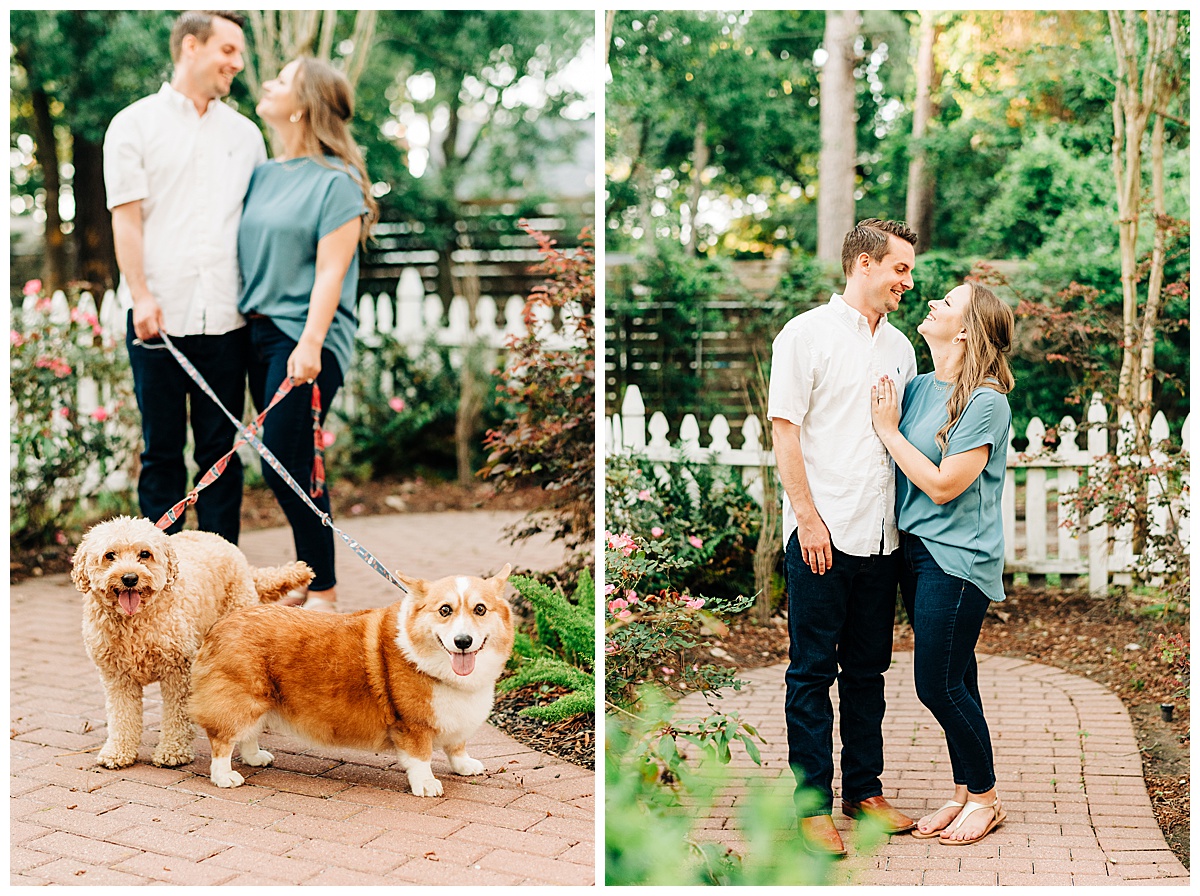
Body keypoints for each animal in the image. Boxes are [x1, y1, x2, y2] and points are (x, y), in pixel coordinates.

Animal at [70, 518, 314, 772]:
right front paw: (118, 752)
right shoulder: (117, 678)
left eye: (144, 554)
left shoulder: (177, 672)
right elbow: (122, 717)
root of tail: (219, 538)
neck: (135, 621)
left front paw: (172, 752)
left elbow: (176, 717)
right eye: (110, 555)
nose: (129, 578)